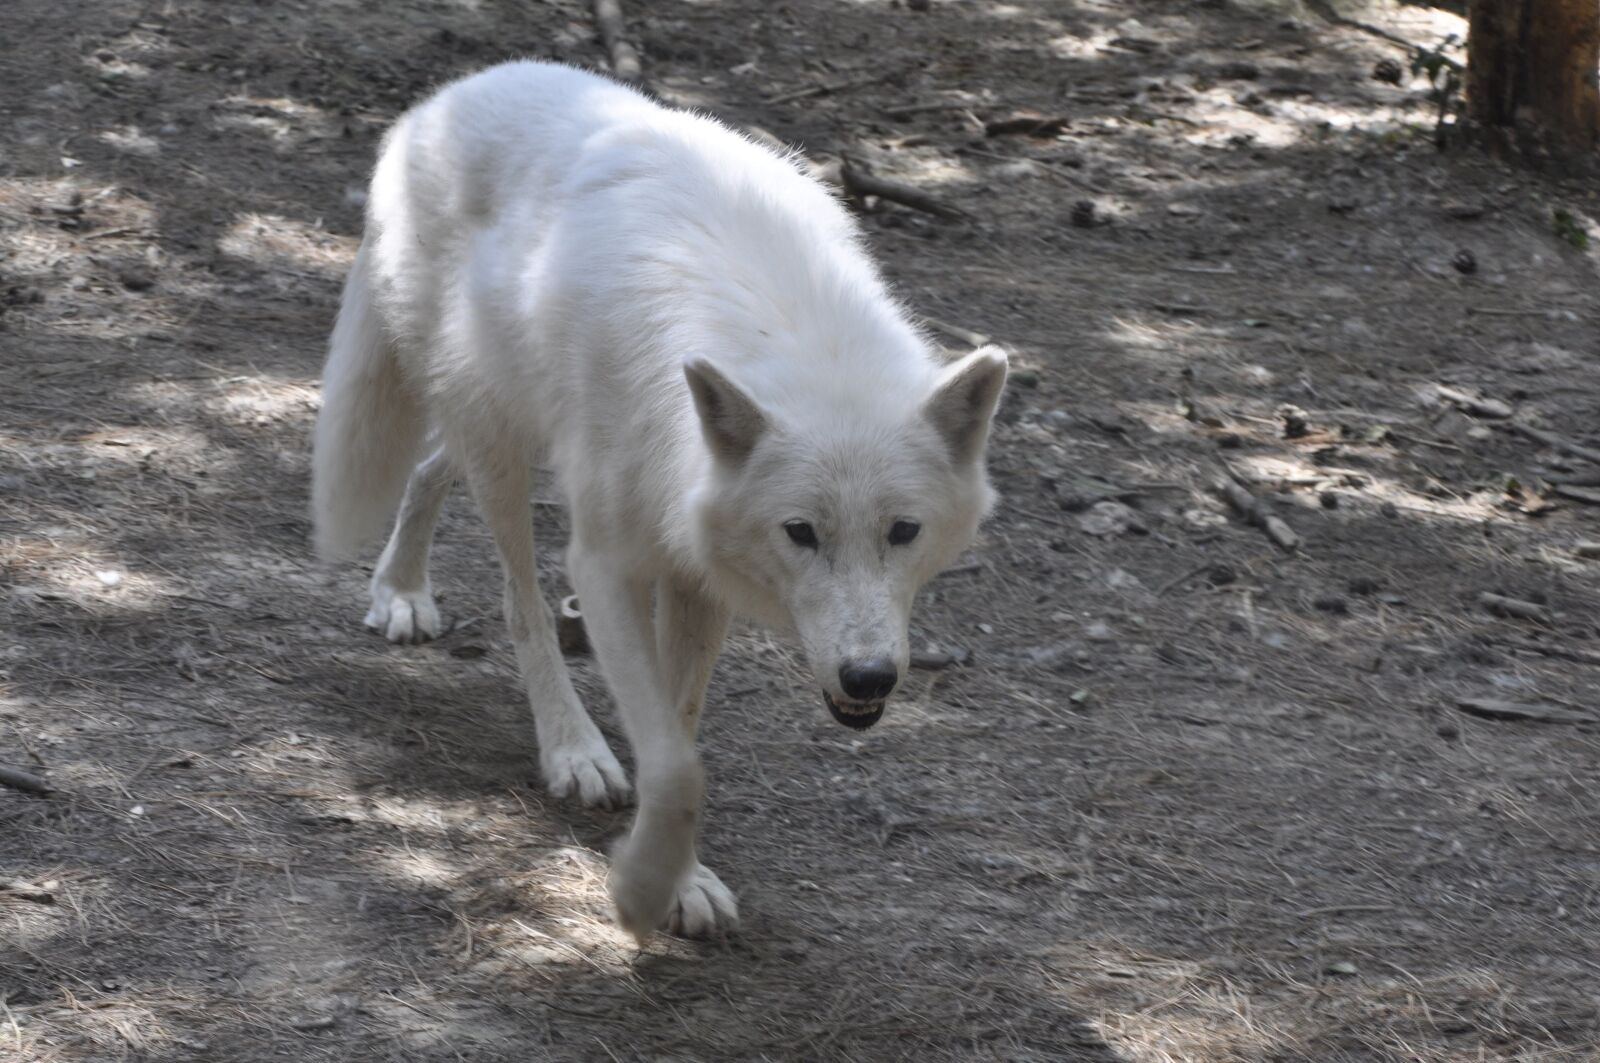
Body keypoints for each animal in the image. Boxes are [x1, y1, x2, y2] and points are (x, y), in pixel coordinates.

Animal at [311, 61, 1007, 940]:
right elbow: (678, 767)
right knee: (519, 599)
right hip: (501, 442)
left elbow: (678, 730)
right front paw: (640, 888)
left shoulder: (696, 574)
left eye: (904, 530)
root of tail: (445, 97)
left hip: (502, 423)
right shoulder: (606, 565)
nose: (870, 677)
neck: (790, 331)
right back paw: (565, 742)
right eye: (801, 532)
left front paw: (682, 880)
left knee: (435, 466)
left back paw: (401, 587)